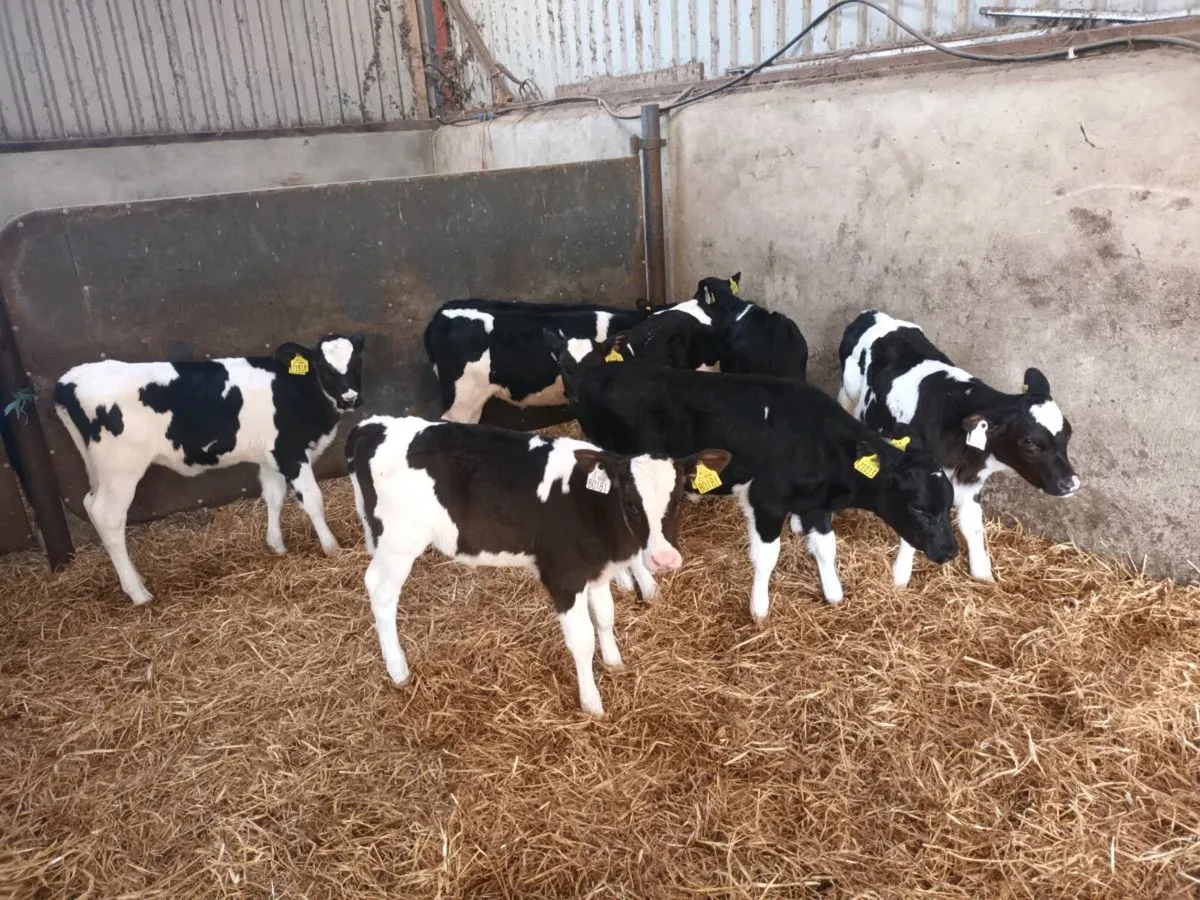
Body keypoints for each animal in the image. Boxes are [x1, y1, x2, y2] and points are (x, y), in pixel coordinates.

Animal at [53, 333, 366, 605]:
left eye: (356, 363)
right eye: (324, 367)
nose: (351, 398)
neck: (298, 390)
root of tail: (70, 380)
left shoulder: (270, 455)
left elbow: (273, 496)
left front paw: (276, 545)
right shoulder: (290, 451)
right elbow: (312, 499)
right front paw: (332, 547)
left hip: (98, 468)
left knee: (89, 503)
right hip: (121, 467)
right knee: (107, 516)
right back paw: (138, 592)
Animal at [345, 414, 730, 716]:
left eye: (677, 498)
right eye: (631, 502)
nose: (665, 559)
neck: (589, 502)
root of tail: (371, 425)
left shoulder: (596, 571)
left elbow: (606, 617)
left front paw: (615, 662)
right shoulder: (563, 577)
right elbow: (582, 640)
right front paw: (592, 703)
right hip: (398, 542)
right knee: (380, 591)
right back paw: (398, 669)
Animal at [551, 347, 958, 621]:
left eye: (947, 504)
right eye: (919, 506)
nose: (950, 551)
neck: (817, 441)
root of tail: (593, 375)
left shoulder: (814, 504)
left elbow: (826, 549)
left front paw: (834, 593)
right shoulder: (768, 502)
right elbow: (767, 556)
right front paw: (759, 608)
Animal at [838, 310, 1079, 587]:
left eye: (1068, 433)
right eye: (1029, 442)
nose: (1071, 483)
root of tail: (873, 314)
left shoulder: (971, 479)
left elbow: (972, 525)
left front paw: (983, 573)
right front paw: (900, 577)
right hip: (848, 393)